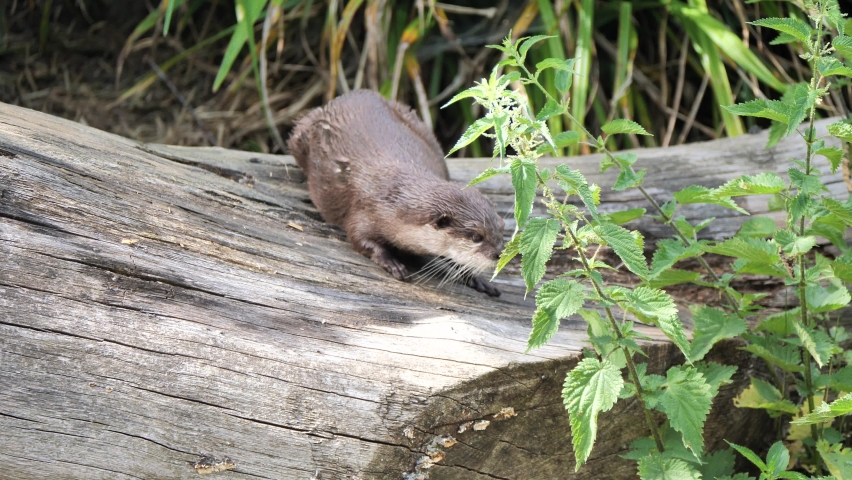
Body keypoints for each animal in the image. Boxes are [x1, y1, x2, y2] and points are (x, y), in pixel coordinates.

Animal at [288, 90, 504, 296]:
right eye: (476, 237)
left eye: (502, 227)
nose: (499, 253)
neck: (396, 200)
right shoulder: (366, 208)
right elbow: (359, 237)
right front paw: (392, 263)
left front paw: (475, 278)